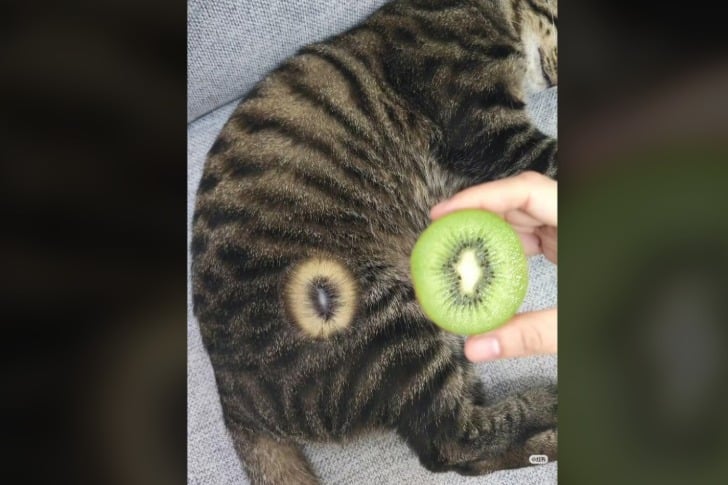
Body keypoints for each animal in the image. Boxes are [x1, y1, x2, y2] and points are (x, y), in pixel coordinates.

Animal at [191, 0, 557, 483]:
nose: (556, 82)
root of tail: (231, 397)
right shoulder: (486, 126)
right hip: (382, 323)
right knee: (449, 443)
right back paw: (548, 410)